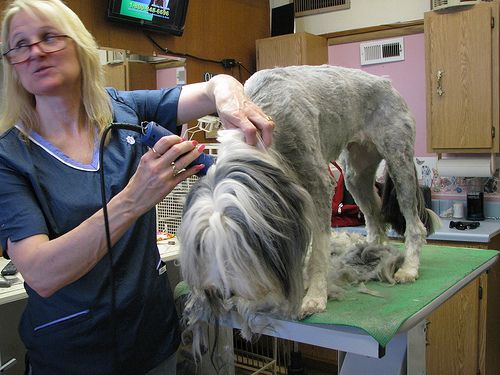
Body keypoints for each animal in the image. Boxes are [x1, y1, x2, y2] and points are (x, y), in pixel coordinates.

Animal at [177, 64, 442, 356]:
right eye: (204, 247)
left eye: (238, 248)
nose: (223, 294)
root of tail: (386, 83)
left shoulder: (318, 183)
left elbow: (318, 251)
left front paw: (314, 297)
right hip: (356, 174)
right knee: (373, 218)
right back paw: (371, 252)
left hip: (399, 162)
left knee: (415, 226)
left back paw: (409, 269)